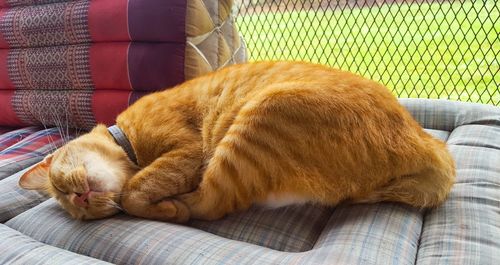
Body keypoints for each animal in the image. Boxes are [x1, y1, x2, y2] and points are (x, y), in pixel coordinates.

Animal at [19, 60, 456, 222]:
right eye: (76, 213)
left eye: (60, 181)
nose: (78, 201)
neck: (128, 135)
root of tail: (430, 146)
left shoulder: (186, 150)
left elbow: (134, 190)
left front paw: (157, 202)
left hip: (260, 116)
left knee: (209, 204)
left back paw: (177, 207)